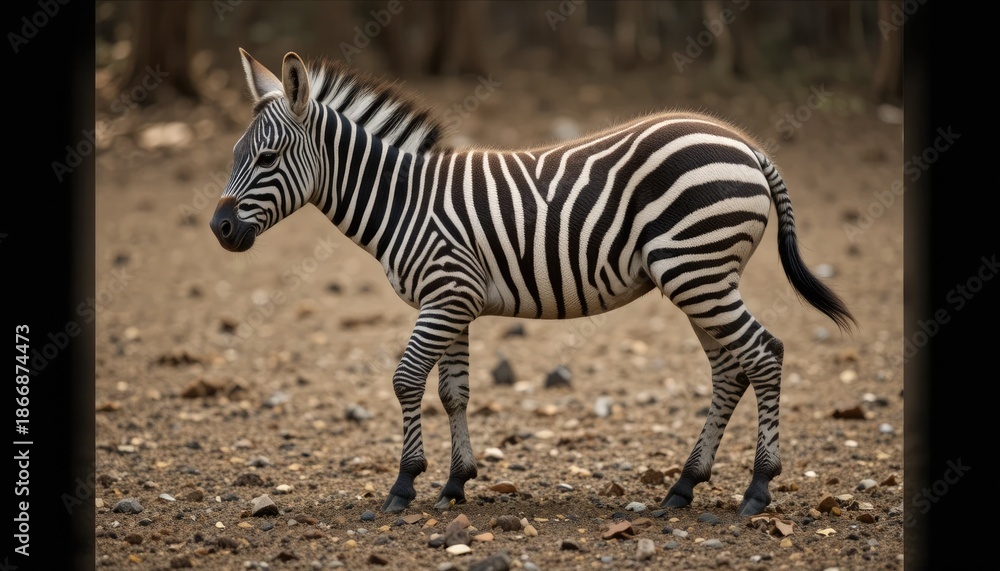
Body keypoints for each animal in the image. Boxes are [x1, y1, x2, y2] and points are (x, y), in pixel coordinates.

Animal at [210, 49, 856, 516]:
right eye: (237, 153)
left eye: (266, 158)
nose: (219, 229)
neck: (405, 201)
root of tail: (746, 143)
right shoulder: (454, 301)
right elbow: (453, 392)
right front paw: (456, 483)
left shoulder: (445, 294)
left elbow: (405, 380)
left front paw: (404, 485)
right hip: (702, 277)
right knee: (730, 369)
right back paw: (683, 487)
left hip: (698, 271)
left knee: (764, 355)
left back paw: (757, 489)